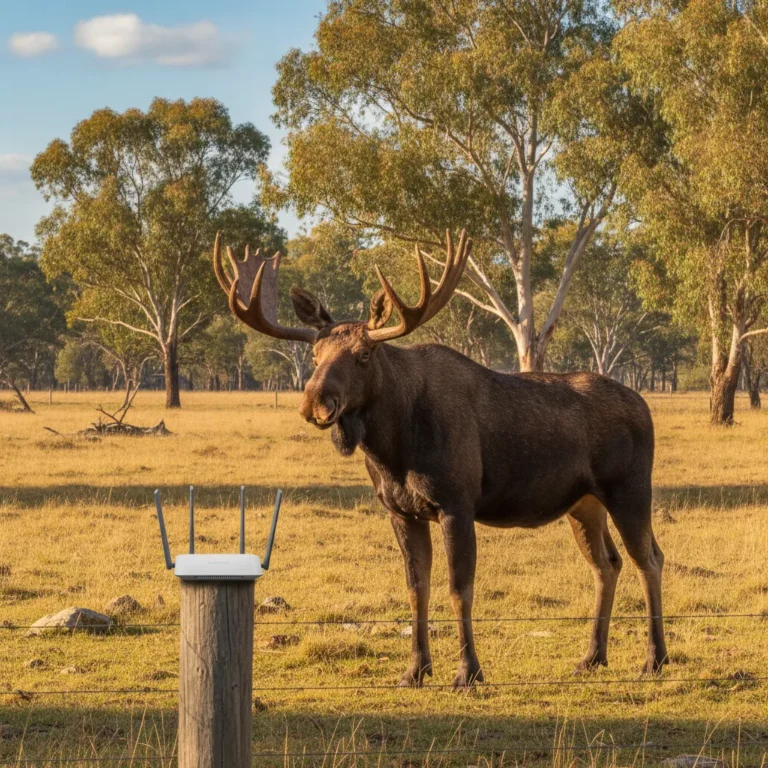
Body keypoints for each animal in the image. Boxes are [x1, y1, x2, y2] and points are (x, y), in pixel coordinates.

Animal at [213, 230, 668, 689]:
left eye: (364, 354)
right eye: (315, 355)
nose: (315, 404)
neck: (393, 448)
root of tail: (645, 406)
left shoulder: (457, 503)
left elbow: (458, 588)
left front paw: (468, 672)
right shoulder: (400, 510)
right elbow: (417, 588)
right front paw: (414, 670)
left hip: (629, 489)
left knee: (648, 558)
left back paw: (655, 659)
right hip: (583, 503)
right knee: (607, 564)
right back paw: (592, 657)